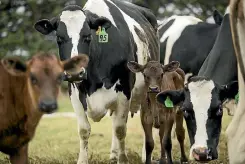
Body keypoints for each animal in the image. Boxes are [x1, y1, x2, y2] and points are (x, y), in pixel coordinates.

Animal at [34, 0, 160, 164]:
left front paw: (123, 159)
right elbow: (84, 130)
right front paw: (82, 160)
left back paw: (146, 155)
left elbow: (120, 129)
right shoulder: (74, 93)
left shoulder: (124, 92)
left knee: (146, 119)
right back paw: (113, 154)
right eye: (59, 38)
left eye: (87, 37)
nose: (75, 72)